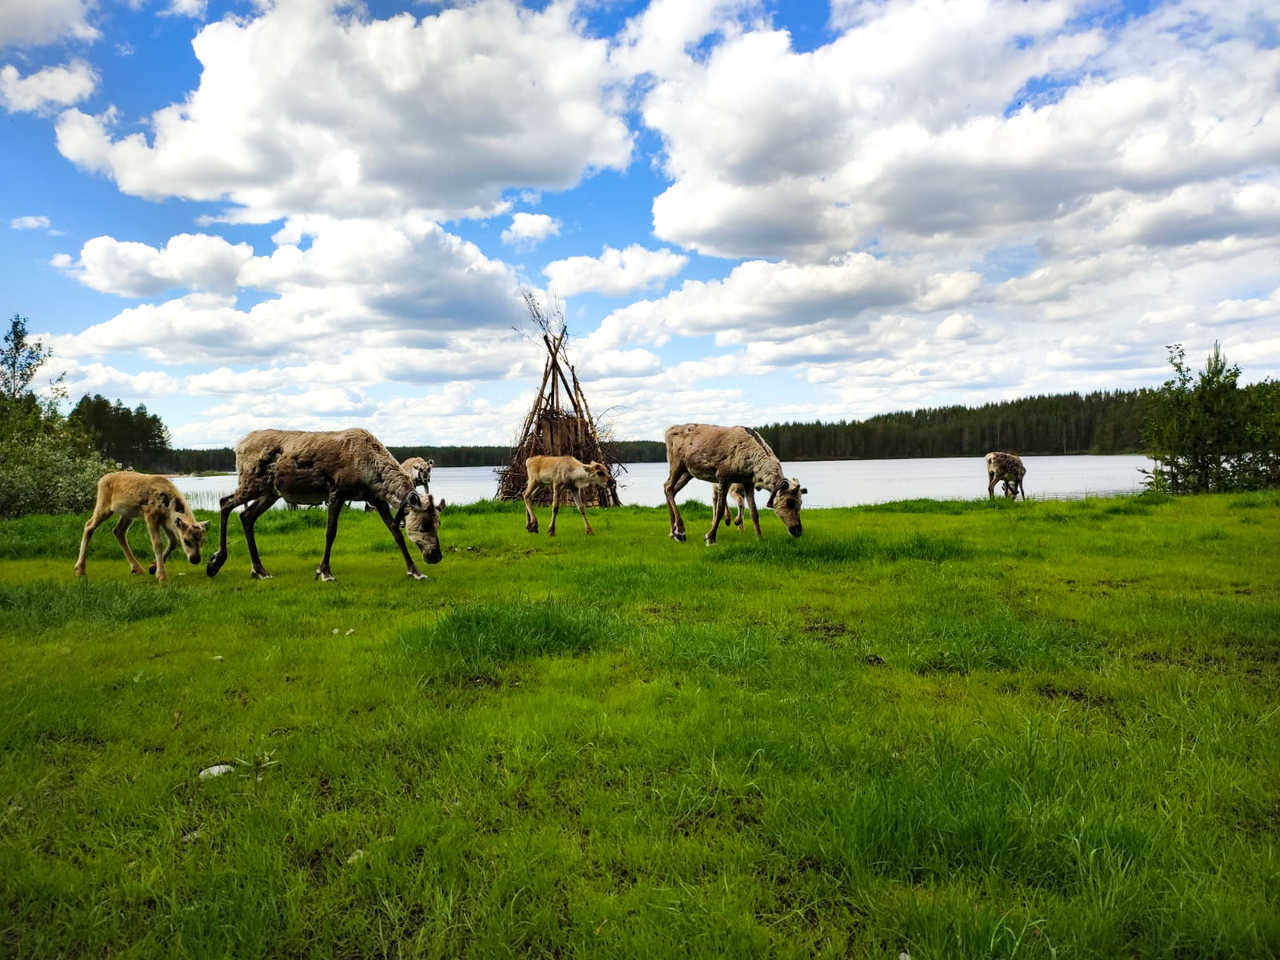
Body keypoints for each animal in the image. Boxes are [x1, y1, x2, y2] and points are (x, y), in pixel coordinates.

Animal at [74, 471, 207, 583]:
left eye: (202, 541)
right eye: (186, 540)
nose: (196, 559)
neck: (169, 508)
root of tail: (101, 480)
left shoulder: (165, 521)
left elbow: (173, 541)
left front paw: (153, 567)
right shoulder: (150, 515)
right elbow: (157, 544)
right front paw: (161, 576)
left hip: (127, 514)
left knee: (118, 531)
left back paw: (137, 569)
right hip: (104, 505)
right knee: (89, 526)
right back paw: (80, 569)